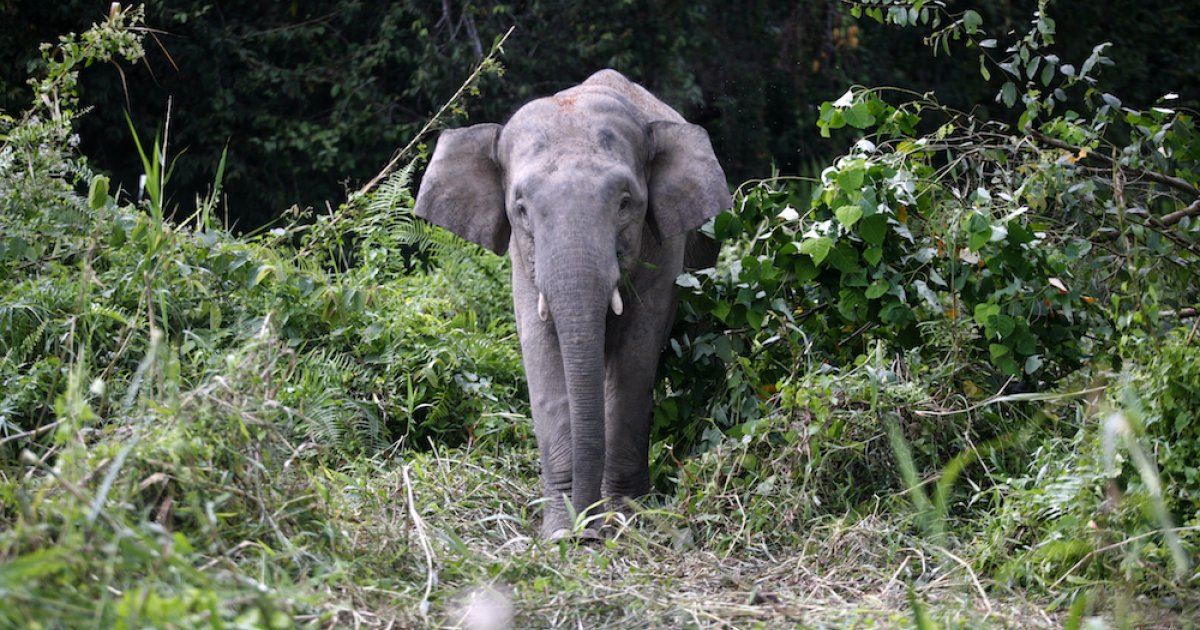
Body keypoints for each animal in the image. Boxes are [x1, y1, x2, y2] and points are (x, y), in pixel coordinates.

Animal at [414, 69, 730, 539]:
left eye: (625, 202)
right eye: (521, 208)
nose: (586, 532)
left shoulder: (662, 248)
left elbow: (637, 355)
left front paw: (621, 521)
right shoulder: (522, 260)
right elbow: (542, 354)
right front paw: (562, 532)